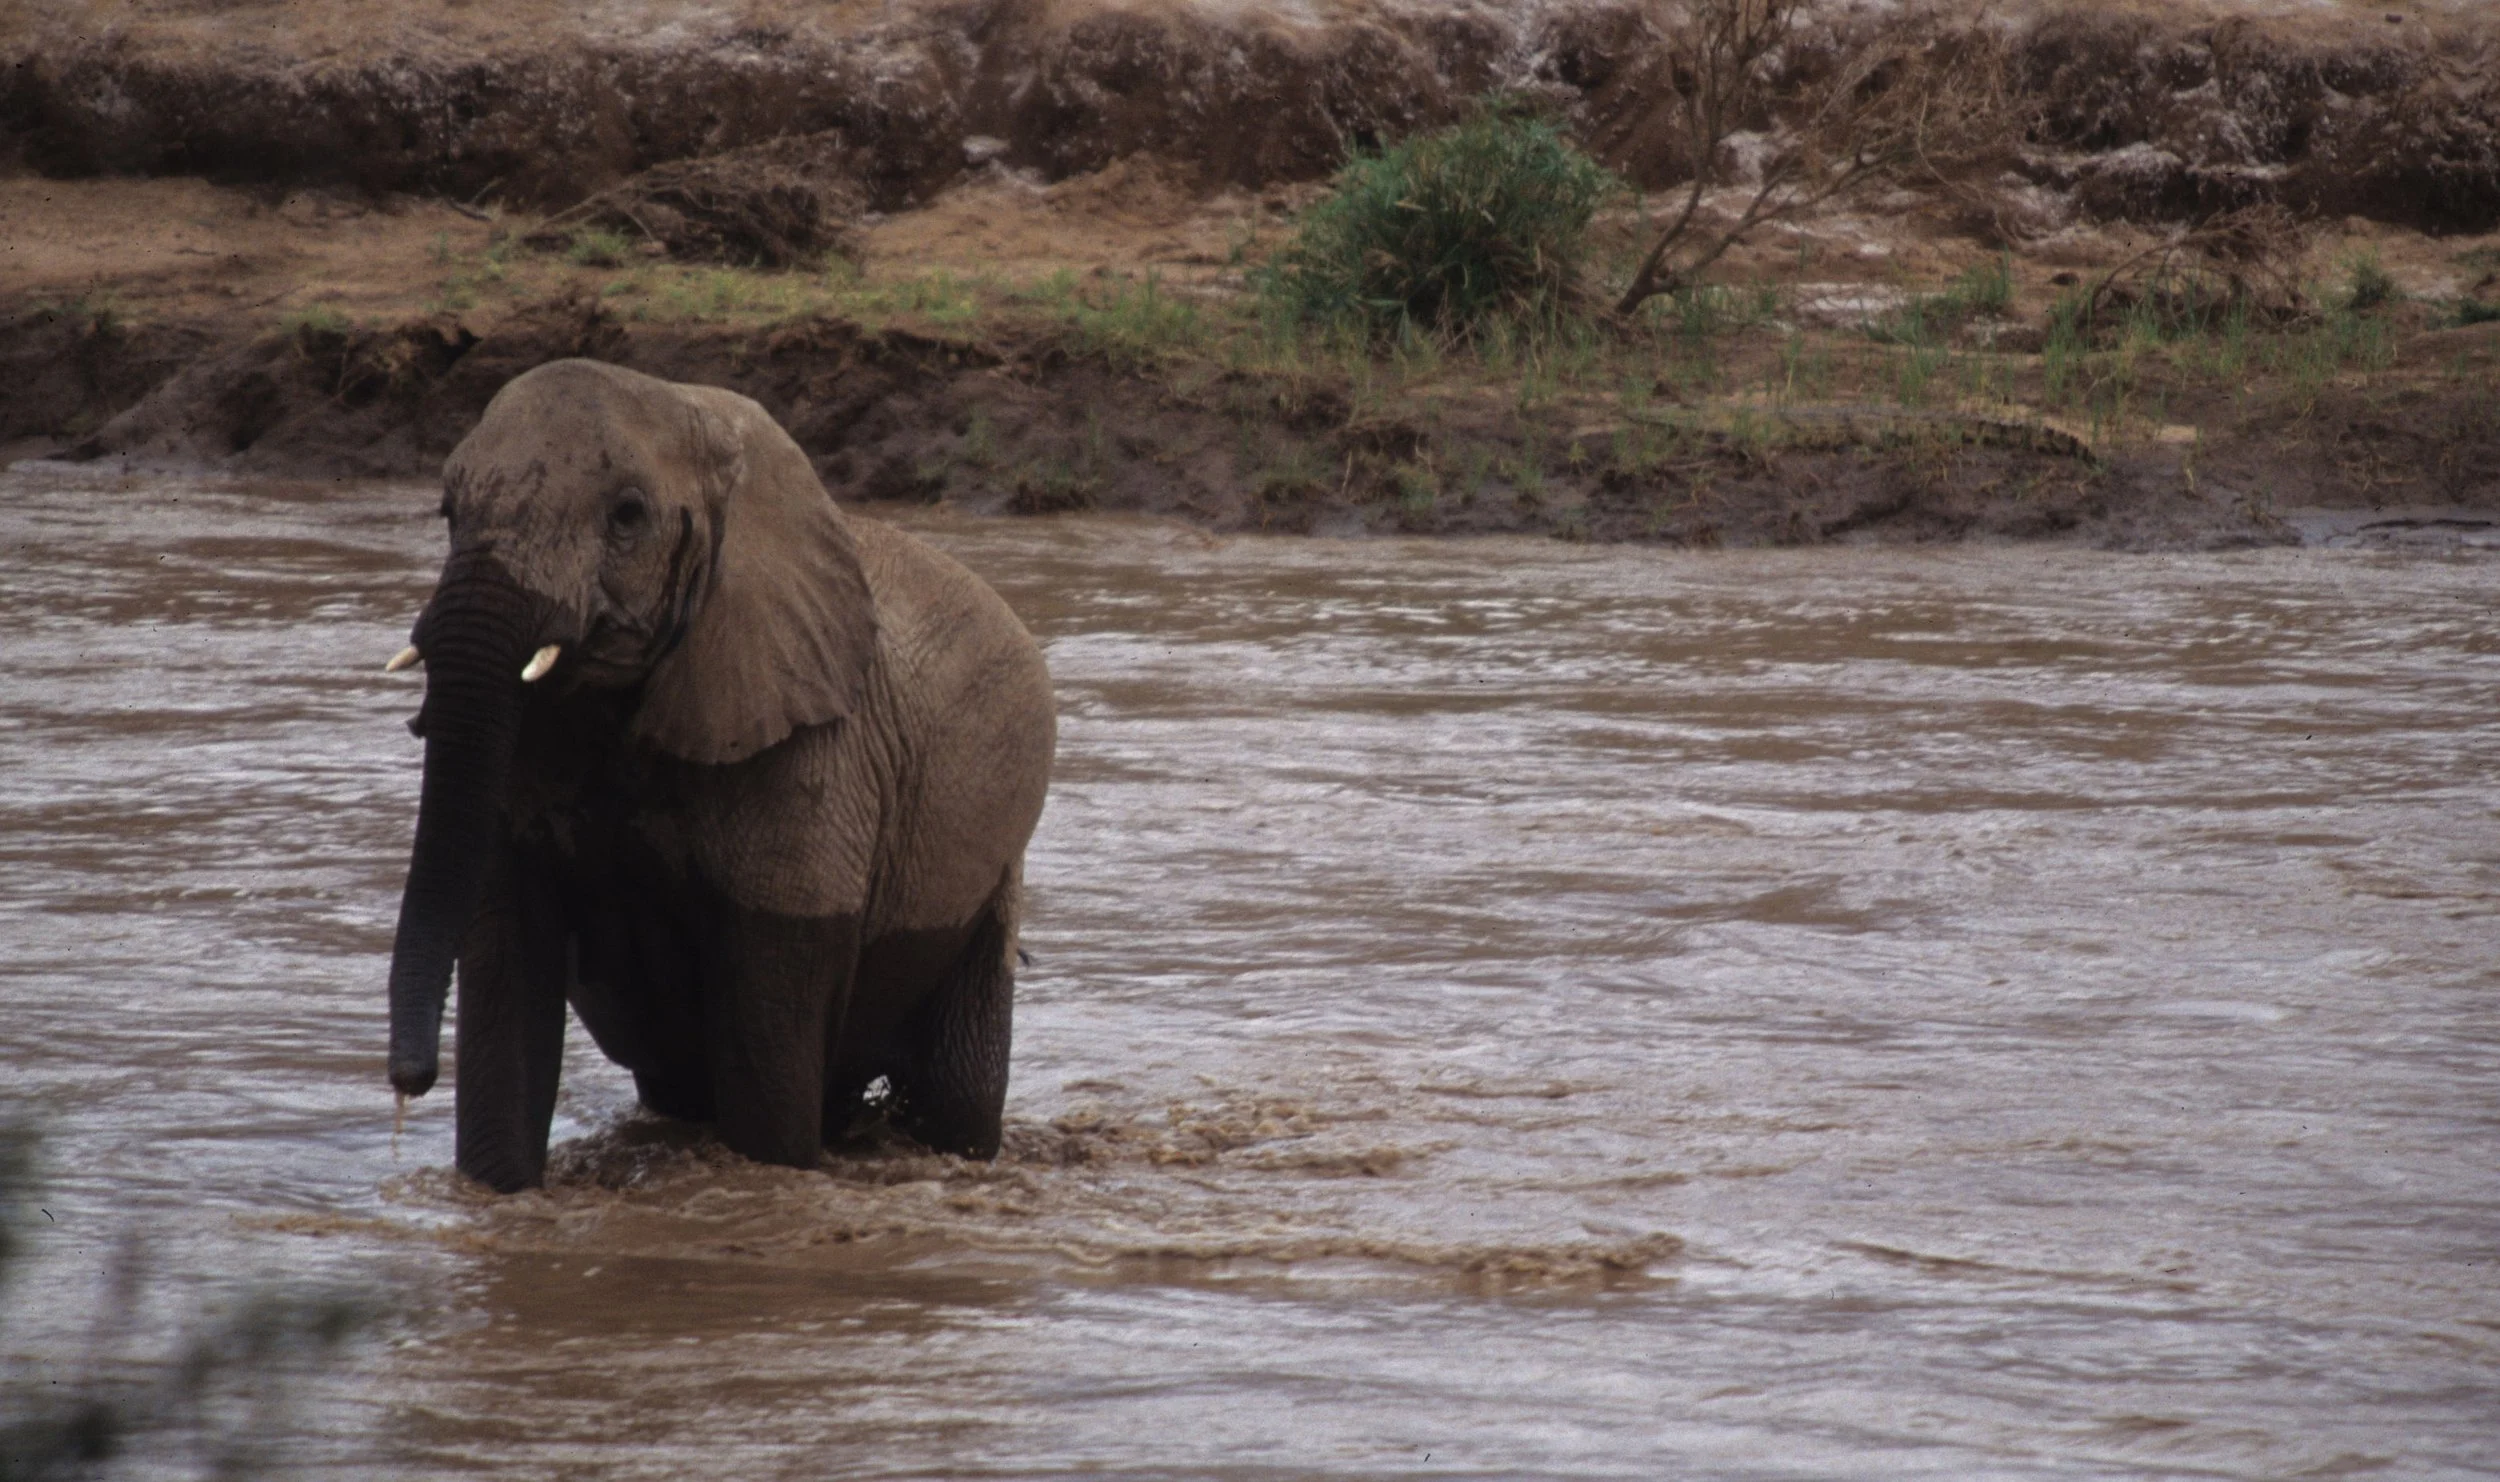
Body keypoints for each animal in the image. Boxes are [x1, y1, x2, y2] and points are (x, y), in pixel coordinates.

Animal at [381, 358, 1055, 1193]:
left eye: (628, 516)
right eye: (447, 512)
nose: (408, 1083)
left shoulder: (815, 751)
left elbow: (769, 1026)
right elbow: (509, 975)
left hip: (991, 878)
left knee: (958, 1092)